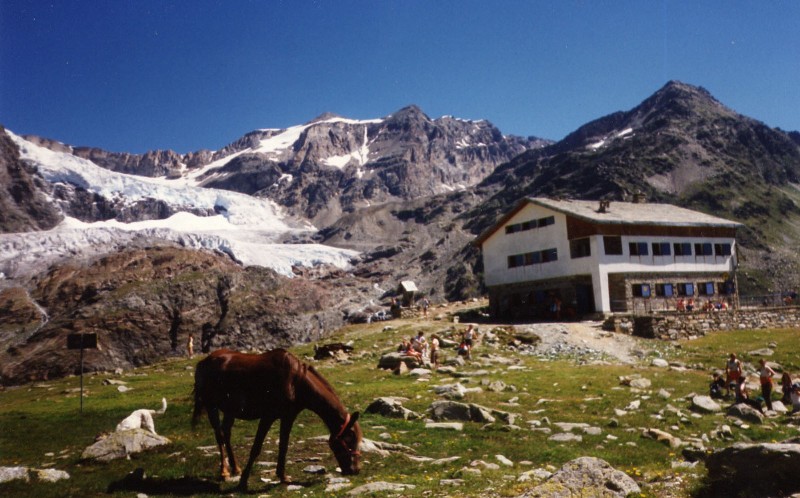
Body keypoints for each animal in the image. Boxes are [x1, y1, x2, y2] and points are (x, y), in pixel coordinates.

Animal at [192, 348, 360, 492]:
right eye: (350, 439)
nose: (356, 470)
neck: (295, 382)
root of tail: (203, 362)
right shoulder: (268, 417)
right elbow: (256, 448)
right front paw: (243, 482)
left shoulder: (288, 417)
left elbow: (283, 446)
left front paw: (283, 477)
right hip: (211, 406)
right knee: (219, 435)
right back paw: (224, 472)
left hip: (230, 410)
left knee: (226, 433)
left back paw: (235, 468)